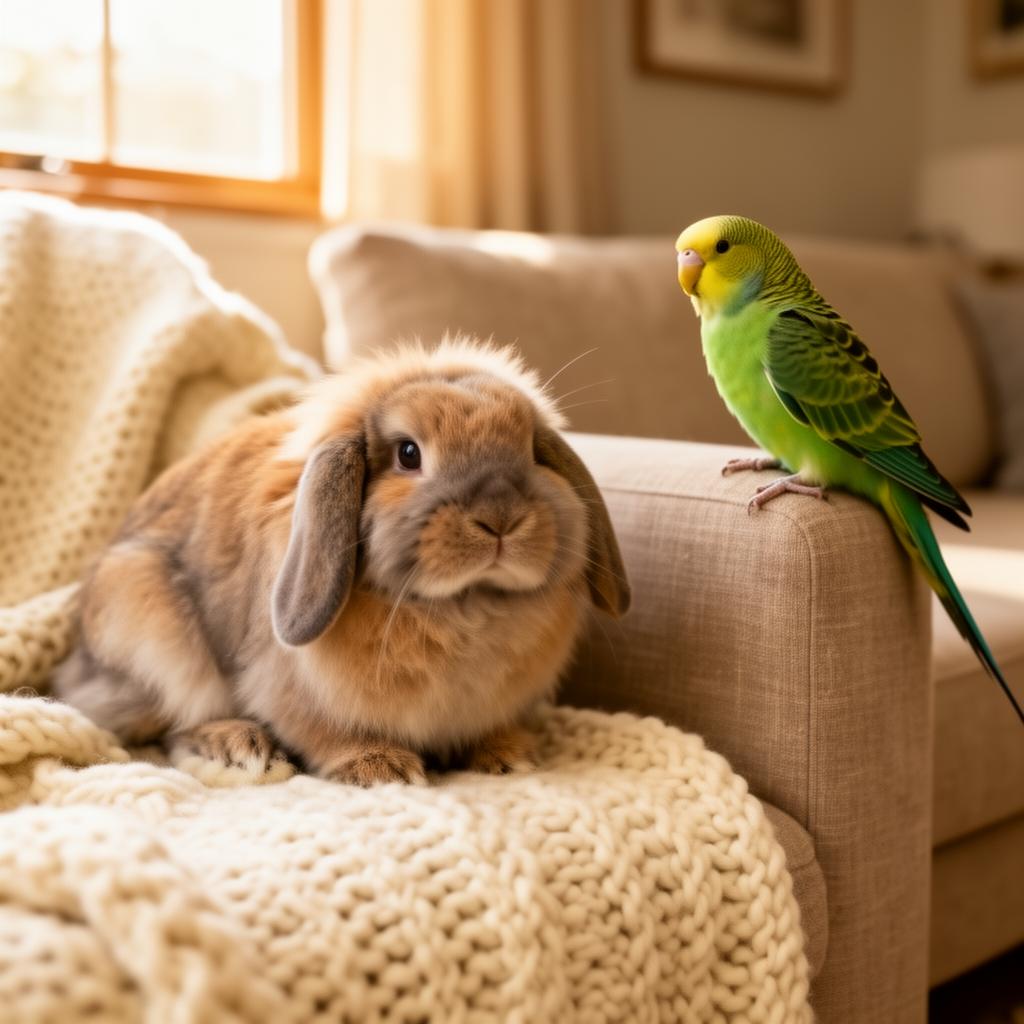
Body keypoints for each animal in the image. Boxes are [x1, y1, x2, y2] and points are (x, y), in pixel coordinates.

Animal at [53, 338, 631, 786]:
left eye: (531, 451)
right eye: (408, 454)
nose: (500, 519)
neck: (465, 607)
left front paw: (509, 756)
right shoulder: (293, 691)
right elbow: (326, 732)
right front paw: (382, 768)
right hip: (151, 627)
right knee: (173, 721)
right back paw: (240, 750)